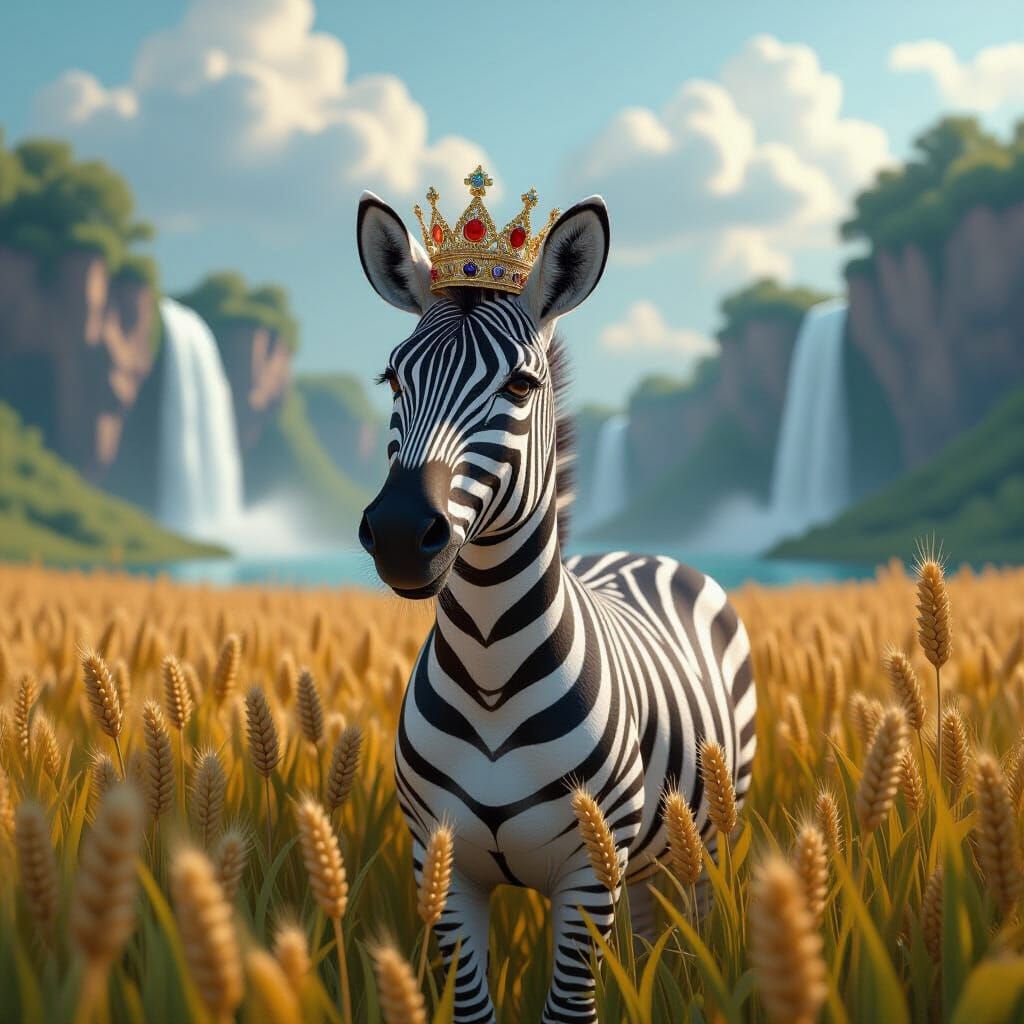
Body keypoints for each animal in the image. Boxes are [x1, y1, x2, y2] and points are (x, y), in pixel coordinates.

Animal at [355, 189, 757, 1023]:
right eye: (392, 380)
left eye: (520, 387)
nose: (403, 533)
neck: (490, 668)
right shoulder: (442, 865)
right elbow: (473, 1009)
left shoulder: (586, 875)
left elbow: (572, 1009)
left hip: (708, 835)